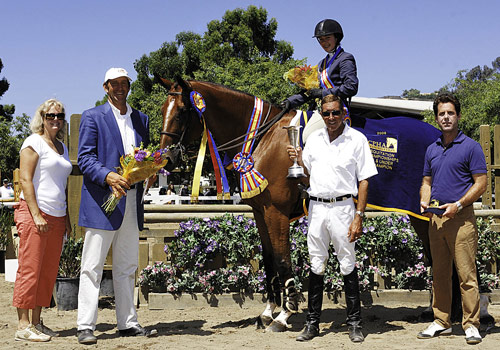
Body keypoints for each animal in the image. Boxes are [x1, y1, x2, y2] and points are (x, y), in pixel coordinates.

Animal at [158, 77, 302, 330]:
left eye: (182, 112)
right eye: (164, 109)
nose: (166, 157)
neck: (264, 137)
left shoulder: (277, 213)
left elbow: (283, 260)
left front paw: (284, 315)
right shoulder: (261, 212)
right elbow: (268, 259)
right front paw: (268, 312)